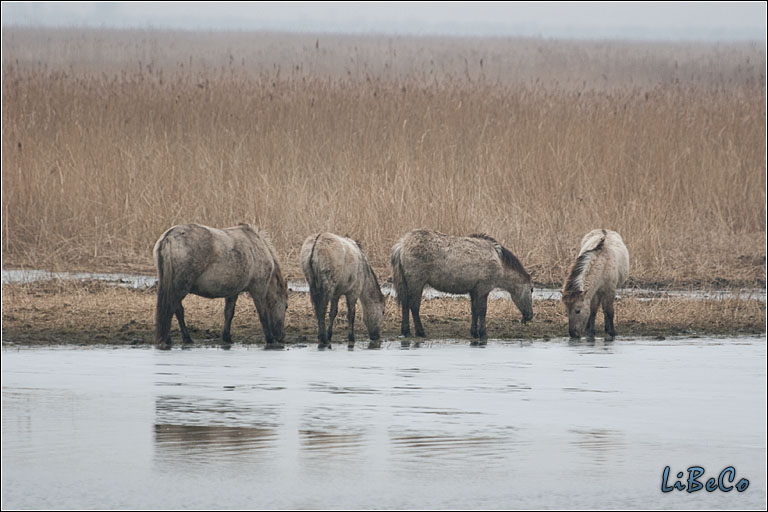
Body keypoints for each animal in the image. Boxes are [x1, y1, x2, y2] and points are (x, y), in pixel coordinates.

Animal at [153, 222, 288, 350]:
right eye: (286, 306)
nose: (281, 337)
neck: (257, 245)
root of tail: (169, 237)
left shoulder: (233, 291)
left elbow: (229, 313)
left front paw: (227, 337)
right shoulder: (259, 290)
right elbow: (263, 314)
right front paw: (270, 339)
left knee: (171, 309)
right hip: (181, 287)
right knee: (173, 309)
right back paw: (183, 339)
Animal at [390, 229, 536, 344]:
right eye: (531, 289)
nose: (529, 316)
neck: (498, 261)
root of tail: (401, 245)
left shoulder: (474, 291)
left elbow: (474, 310)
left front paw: (474, 333)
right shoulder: (483, 289)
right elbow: (482, 311)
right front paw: (483, 334)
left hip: (406, 283)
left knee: (405, 305)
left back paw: (406, 332)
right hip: (417, 283)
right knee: (414, 306)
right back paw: (420, 332)